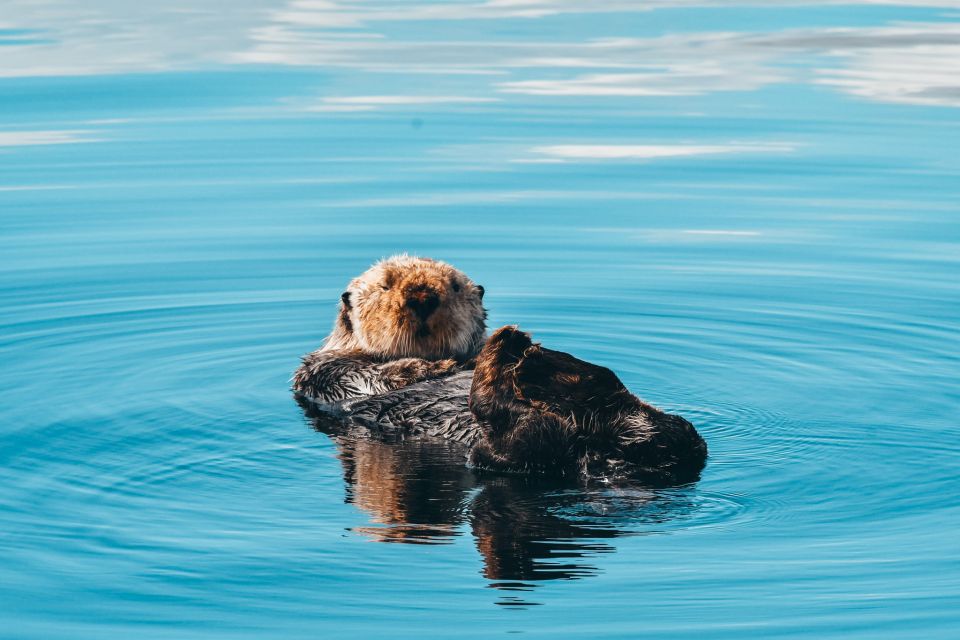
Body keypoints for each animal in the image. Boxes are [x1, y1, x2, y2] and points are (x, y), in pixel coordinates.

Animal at [292, 255, 704, 480]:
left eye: (454, 286)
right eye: (385, 285)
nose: (422, 296)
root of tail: (597, 457)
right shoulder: (323, 373)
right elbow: (370, 375)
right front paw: (433, 366)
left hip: (655, 436)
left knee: (677, 436)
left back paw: (546, 365)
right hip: (509, 456)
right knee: (517, 441)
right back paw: (517, 363)